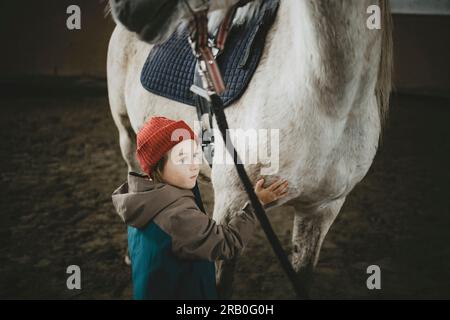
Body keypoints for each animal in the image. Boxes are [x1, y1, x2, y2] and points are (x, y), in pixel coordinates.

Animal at [107, 0, 392, 298]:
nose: (128, 8)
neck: (329, 106)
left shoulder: (322, 209)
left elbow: (303, 274)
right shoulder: (232, 201)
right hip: (128, 135)